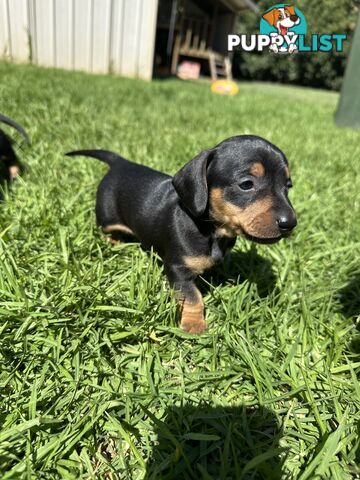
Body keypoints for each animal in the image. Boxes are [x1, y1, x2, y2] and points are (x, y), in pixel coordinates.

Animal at [66, 135, 296, 334]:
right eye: (246, 184)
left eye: (288, 185)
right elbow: (193, 297)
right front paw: (194, 325)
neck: (211, 229)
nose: (290, 223)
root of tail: (120, 163)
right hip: (106, 219)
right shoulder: (177, 268)